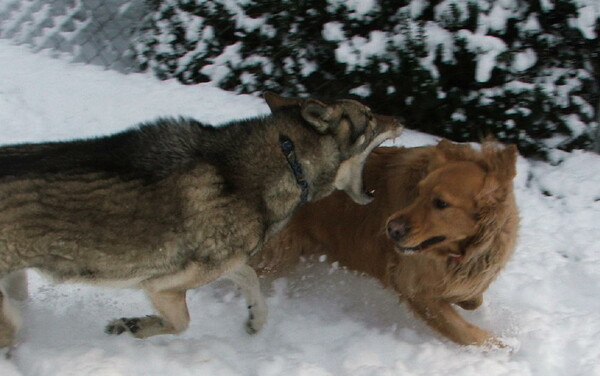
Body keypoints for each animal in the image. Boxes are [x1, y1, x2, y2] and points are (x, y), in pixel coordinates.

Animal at [1, 92, 404, 348]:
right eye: (370, 116)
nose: (401, 119)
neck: (288, 160)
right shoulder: (160, 285)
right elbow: (181, 324)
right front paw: (134, 326)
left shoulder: (223, 263)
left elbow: (251, 278)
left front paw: (256, 320)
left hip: (14, 283)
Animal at [251, 140, 516, 346]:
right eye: (418, 193)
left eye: (440, 203)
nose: (391, 229)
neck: (463, 248)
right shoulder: (414, 288)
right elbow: (464, 331)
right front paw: (502, 349)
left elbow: (473, 298)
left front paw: (467, 300)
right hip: (275, 253)